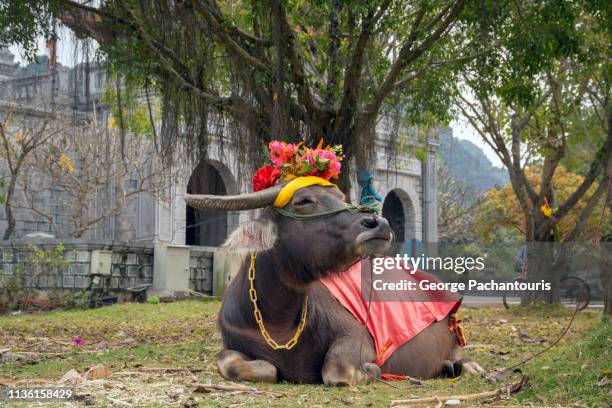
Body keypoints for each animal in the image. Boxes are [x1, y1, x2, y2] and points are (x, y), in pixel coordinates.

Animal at [184, 183, 480, 384]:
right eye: (304, 200)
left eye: (341, 198)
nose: (378, 223)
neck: (277, 321)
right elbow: (229, 362)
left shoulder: (358, 338)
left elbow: (335, 369)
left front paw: (373, 370)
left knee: (459, 355)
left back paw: (468, 366)